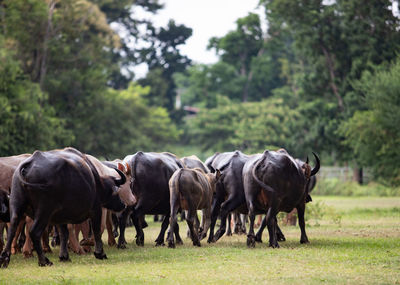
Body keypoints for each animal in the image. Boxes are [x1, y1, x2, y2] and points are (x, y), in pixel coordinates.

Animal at [0, 146, 128, 266]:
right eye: (116, 192)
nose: (123, 204)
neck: (96, 183)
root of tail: (28, 165)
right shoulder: (95, 210)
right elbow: (96, 230)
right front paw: (100, 253)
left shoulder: (61, 217)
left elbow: (64, 234)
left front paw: (64, 256)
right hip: (44, 211)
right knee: (34, 232)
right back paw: (44, 261)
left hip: (16, 205)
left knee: (12, 228)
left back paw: (5, 258)